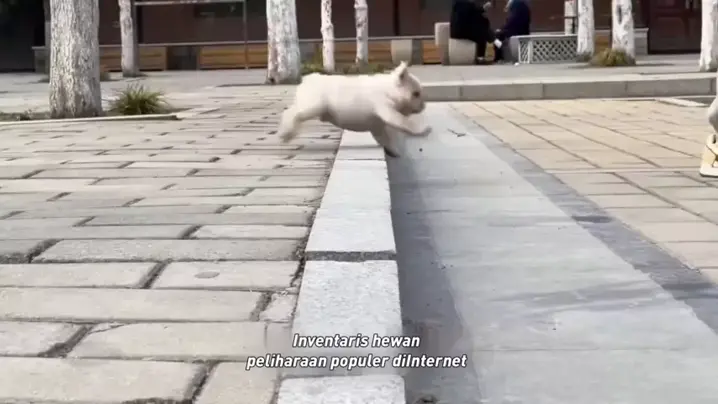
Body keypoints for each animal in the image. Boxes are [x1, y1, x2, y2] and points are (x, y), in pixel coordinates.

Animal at [276, 61, 431, 157]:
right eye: (416, 94)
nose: (424, 106)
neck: (388, 88)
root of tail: (307, 80)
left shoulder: (377, 127)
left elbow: (385, 139)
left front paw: (395, 153)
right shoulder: (386, 109)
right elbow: (403, 122)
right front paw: (423, 130)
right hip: (313, 106)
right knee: (292, 113)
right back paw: (286, 133)